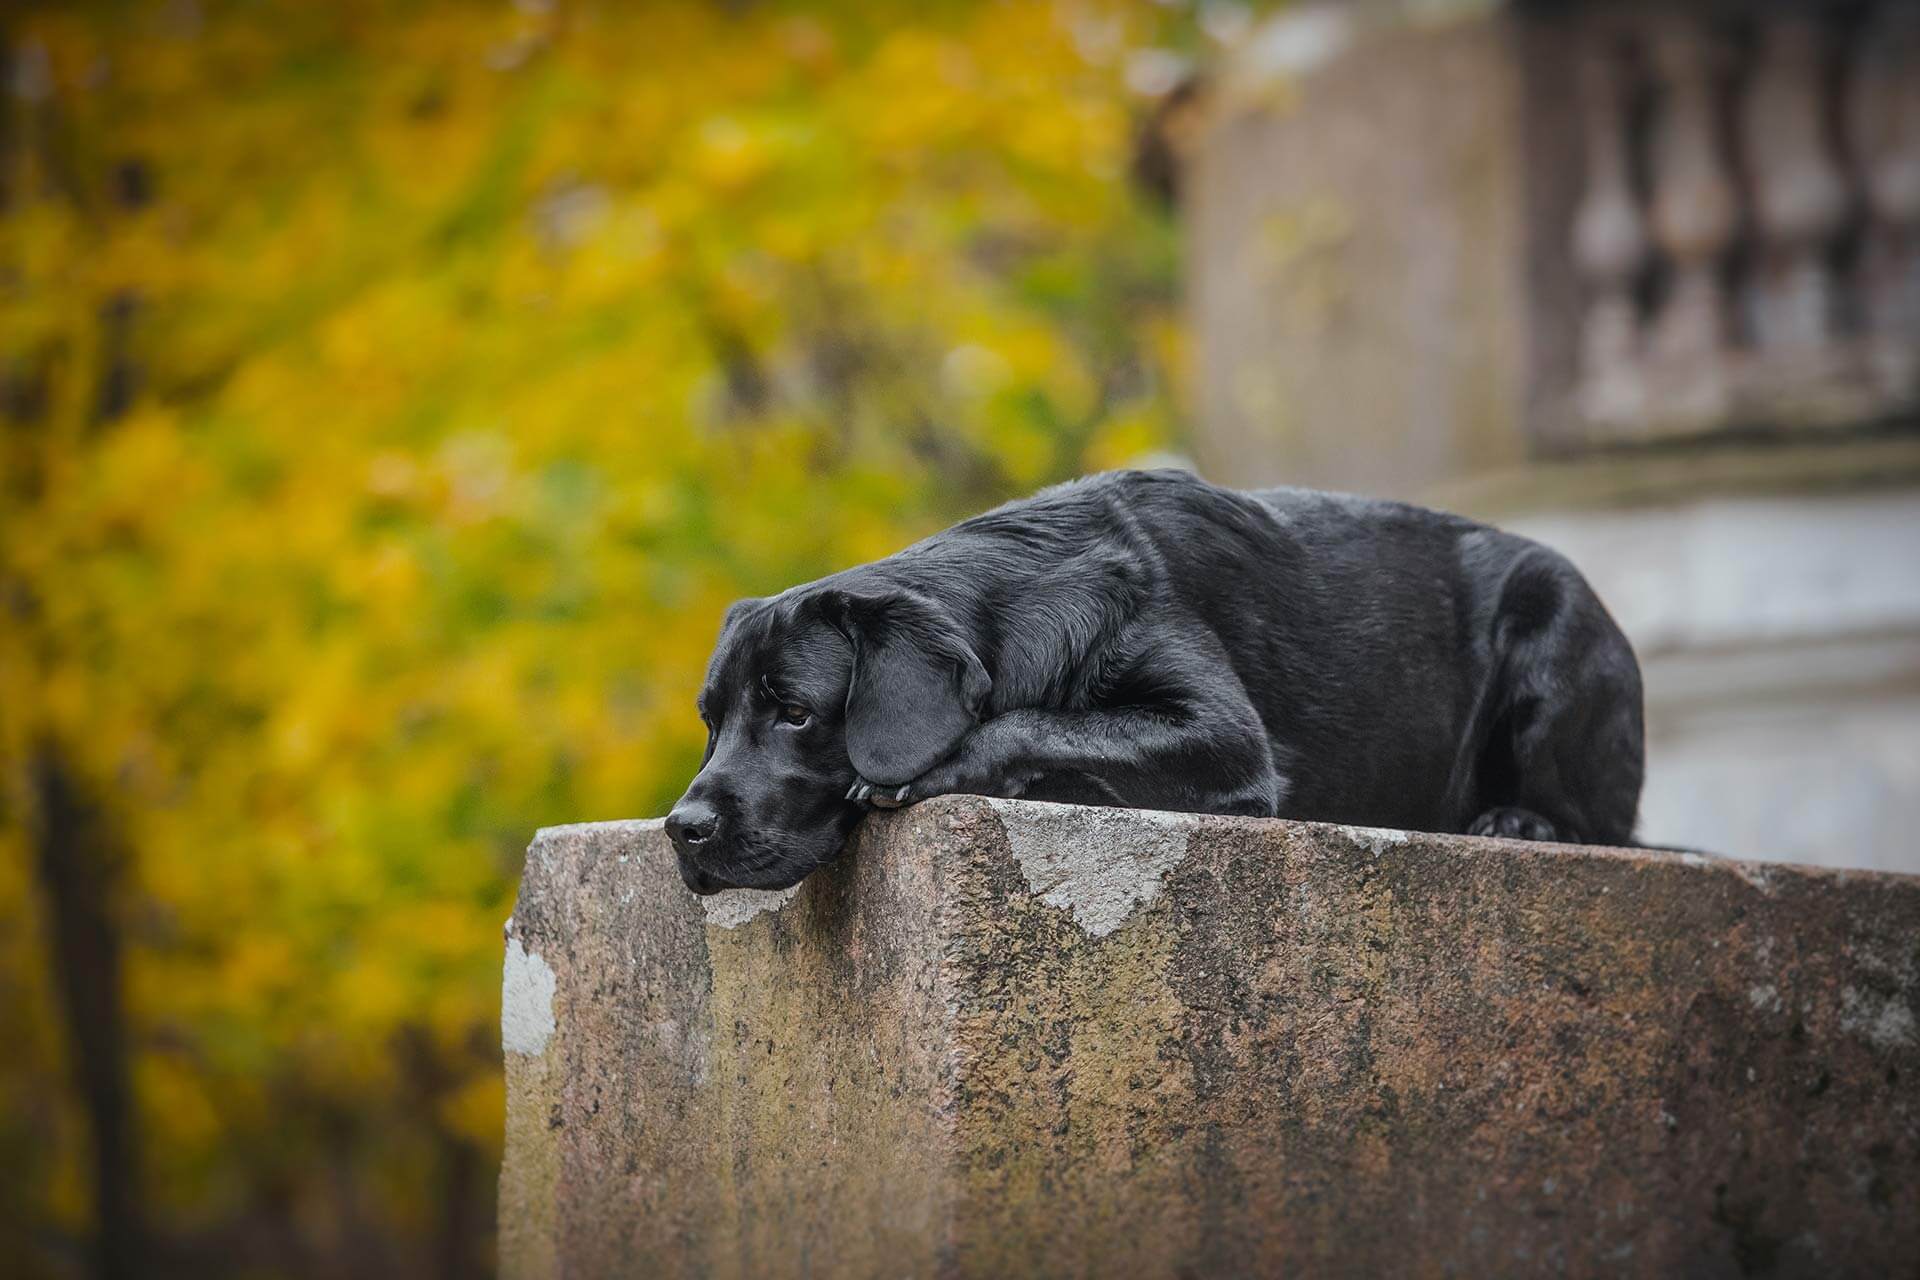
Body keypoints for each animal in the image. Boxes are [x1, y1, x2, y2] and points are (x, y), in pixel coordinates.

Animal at [668, 466, 1643, 898]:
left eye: (796, 713)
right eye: (711, 722)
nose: (682, 829)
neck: (1025, 589)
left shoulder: (1225, 738)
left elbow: (1032, 722)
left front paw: (932, 766)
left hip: (1555, 623)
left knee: (1607, 826)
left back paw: (1520, 822)